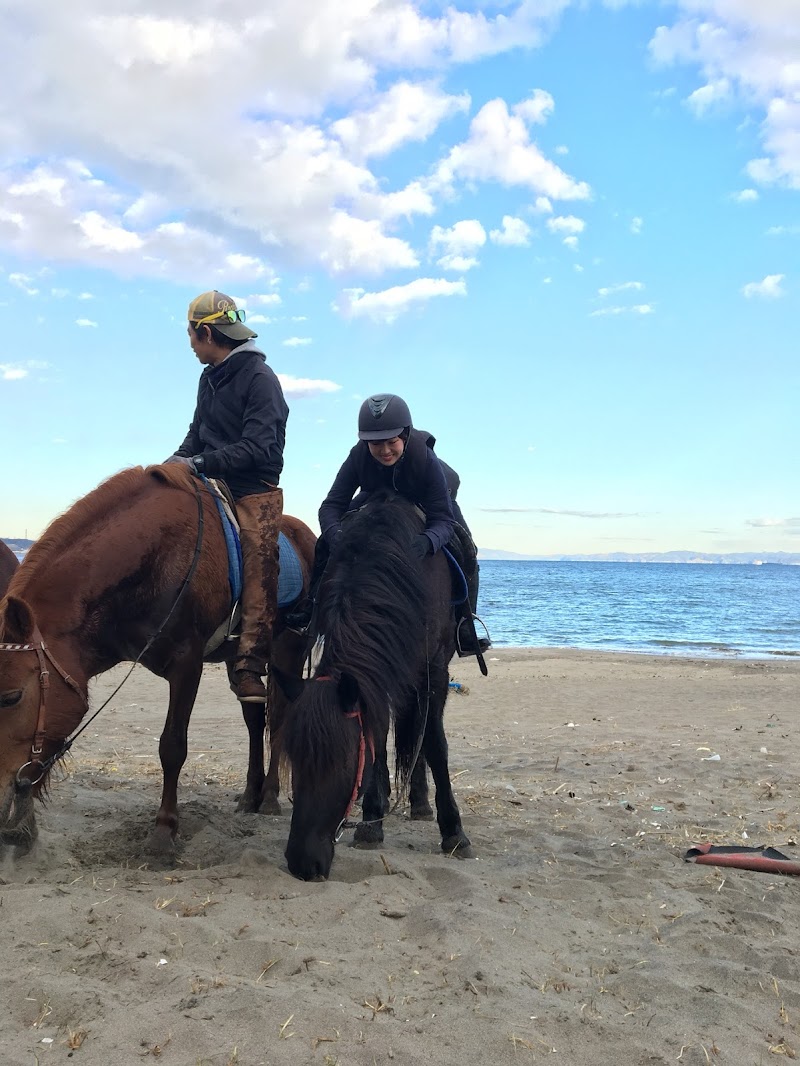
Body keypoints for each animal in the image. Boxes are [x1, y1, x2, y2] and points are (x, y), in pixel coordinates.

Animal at [0, 465, 316, 855]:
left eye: (11, 697)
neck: (158, 558)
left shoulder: (187, 665)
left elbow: (172, 747)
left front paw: (164, 832)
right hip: (240, 662)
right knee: (255, 717)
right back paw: (249, 795)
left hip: (288, 653)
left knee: (282, 719)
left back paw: (270, 795)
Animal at [280, 490, 471, 881]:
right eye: (294, 760)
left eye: (341, 763)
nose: (302, 863)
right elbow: (378, 740)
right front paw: (371, 820)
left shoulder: (435, 670)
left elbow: (435, 745)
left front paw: (454, 832)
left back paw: (421, 804)